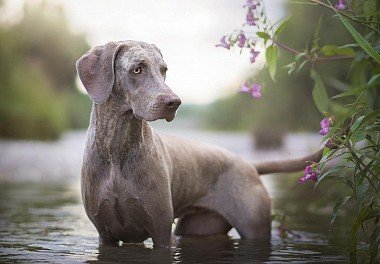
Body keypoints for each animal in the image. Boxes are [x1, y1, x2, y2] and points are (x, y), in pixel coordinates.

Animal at [75, 39, 322, 248]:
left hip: (254, 227)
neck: (117, 149)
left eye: (164, 70)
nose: (174, 102)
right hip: (198, 226)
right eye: (137, 69)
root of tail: (250, 165)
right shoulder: (106, 235)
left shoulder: (162, 232)